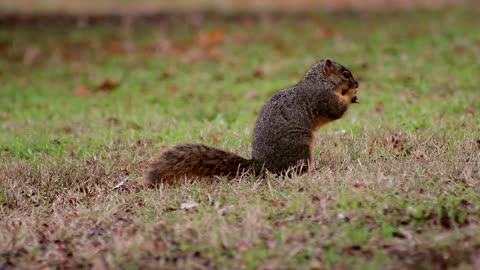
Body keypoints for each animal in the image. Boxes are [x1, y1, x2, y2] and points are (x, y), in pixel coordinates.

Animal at [146, 59, 360, 186]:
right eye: (346, 74)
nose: (357, 84)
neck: (319, 81)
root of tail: (261, 166)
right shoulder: (322, 98)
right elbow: (335, 111)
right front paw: (350, 96)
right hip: (300, 148)